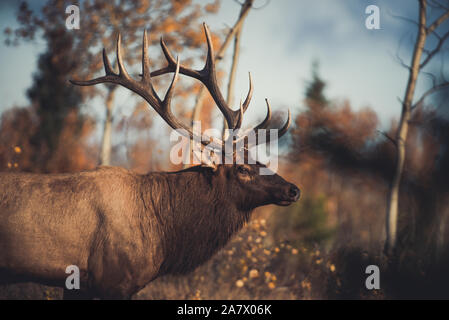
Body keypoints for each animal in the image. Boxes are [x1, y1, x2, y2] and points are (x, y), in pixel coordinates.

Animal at [0, 23, 300, 298]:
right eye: (242, 169)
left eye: (260, 161)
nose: (293, 189)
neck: (163, 235)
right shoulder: (112, 280)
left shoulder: (79, 285)